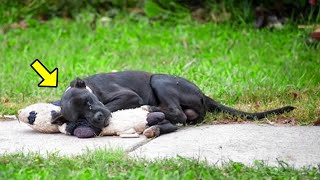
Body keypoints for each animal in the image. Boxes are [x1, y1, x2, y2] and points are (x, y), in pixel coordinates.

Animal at [52, 70, 296, 135]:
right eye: (80, 115)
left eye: (89, 102)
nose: (97, 118)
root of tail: (202, 94)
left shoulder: (129, 96)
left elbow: (112, 106)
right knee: (181, 116)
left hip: (159, 80)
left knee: (177, 113)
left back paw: (150, 109)